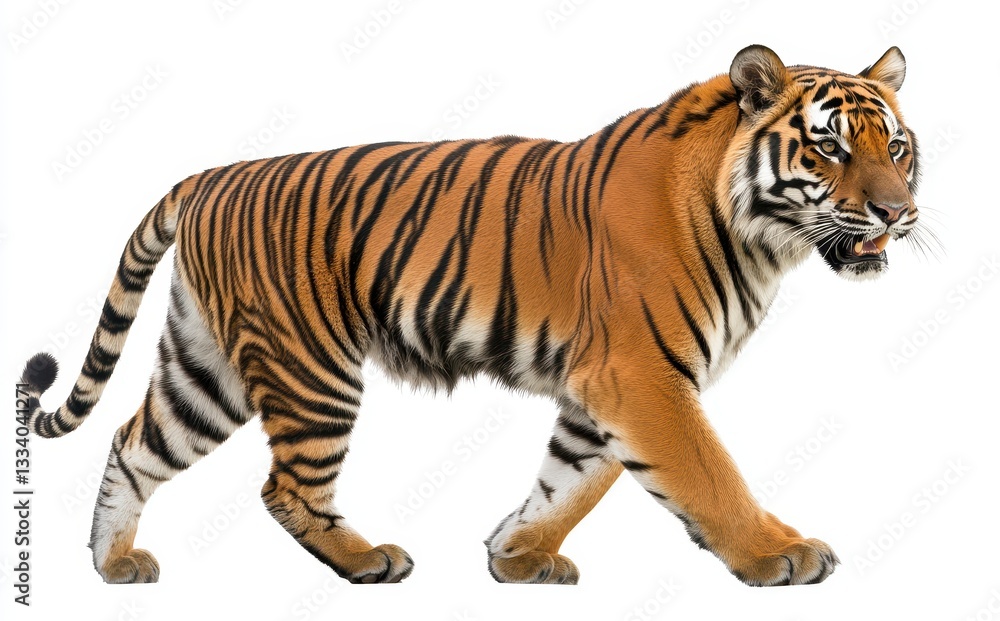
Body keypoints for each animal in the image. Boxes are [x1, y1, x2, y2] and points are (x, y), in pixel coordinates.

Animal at [20, 44, 924, 587]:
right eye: (830, 147)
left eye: (897, 146)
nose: (897, 212)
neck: (760, 238)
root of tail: (209, 175)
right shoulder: (641, 375)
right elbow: (710, 473)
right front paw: (780, 552)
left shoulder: (604, 387)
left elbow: (571, 480)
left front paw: (515, 555)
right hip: (309, 366)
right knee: (284, 485)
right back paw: (367, 560)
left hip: (206, 368)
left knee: (133, 443)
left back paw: (112, 564)